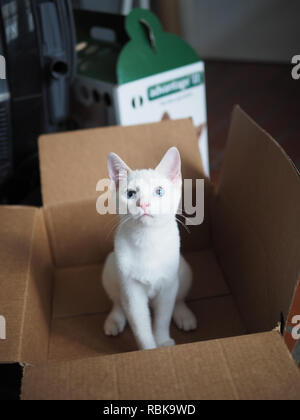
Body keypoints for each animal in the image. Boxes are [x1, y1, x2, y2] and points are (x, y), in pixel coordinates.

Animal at [102, 146, 198, 350]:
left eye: (159, 191)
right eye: (130, 194)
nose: (144, 204)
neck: (147, 240)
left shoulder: (168, 285)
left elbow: (163, 317)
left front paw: (162, 341)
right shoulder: (132, 291)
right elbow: (140, 324)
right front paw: (148, 349)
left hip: (183, 268)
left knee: (179, 297)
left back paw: (184, 315)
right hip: (110, 267)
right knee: (118, 301)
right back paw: (114, 320)